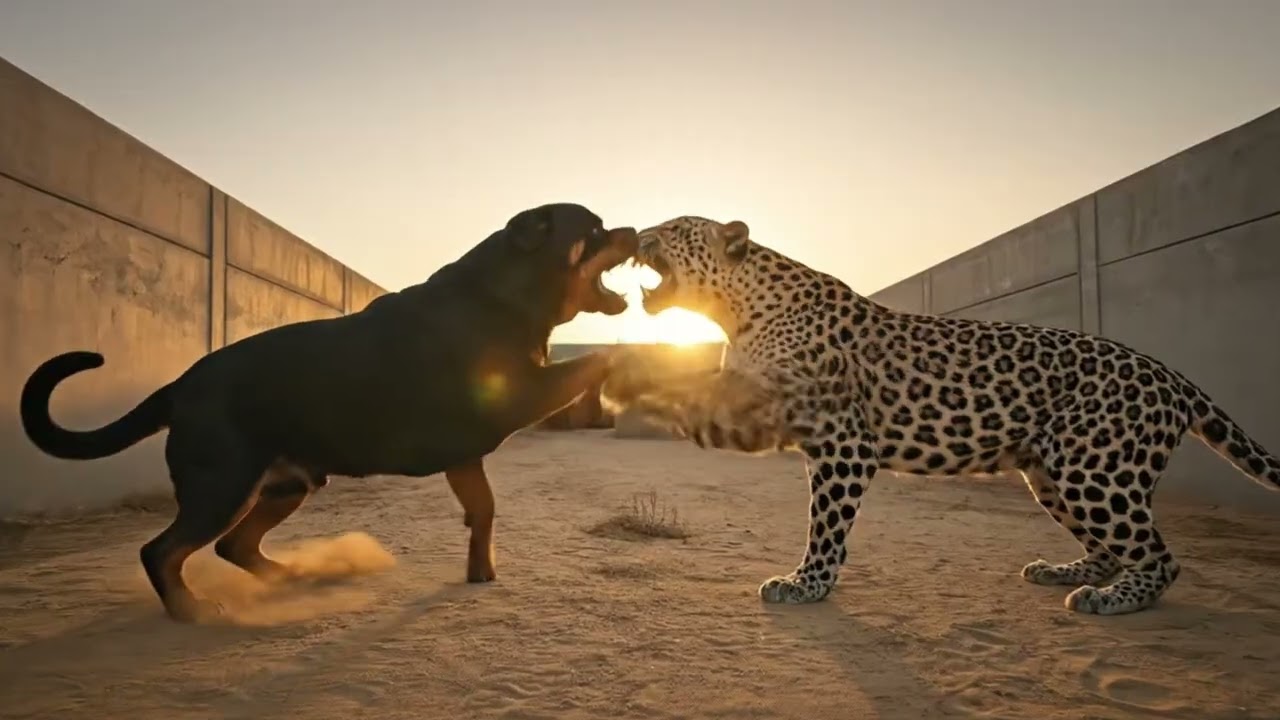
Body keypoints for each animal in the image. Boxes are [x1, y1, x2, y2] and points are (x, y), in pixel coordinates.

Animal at [600, 215, 1280, 615]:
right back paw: (1065, 572)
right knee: (1114, 546)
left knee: (1160, 557)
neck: (737, 309)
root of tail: (1173, 376)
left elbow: (826, 523)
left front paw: (808, 583)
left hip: (1098, 473)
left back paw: (1110, 599)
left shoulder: (843, 444)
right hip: (1051, 475)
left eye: (674, 227)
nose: (634, 235)